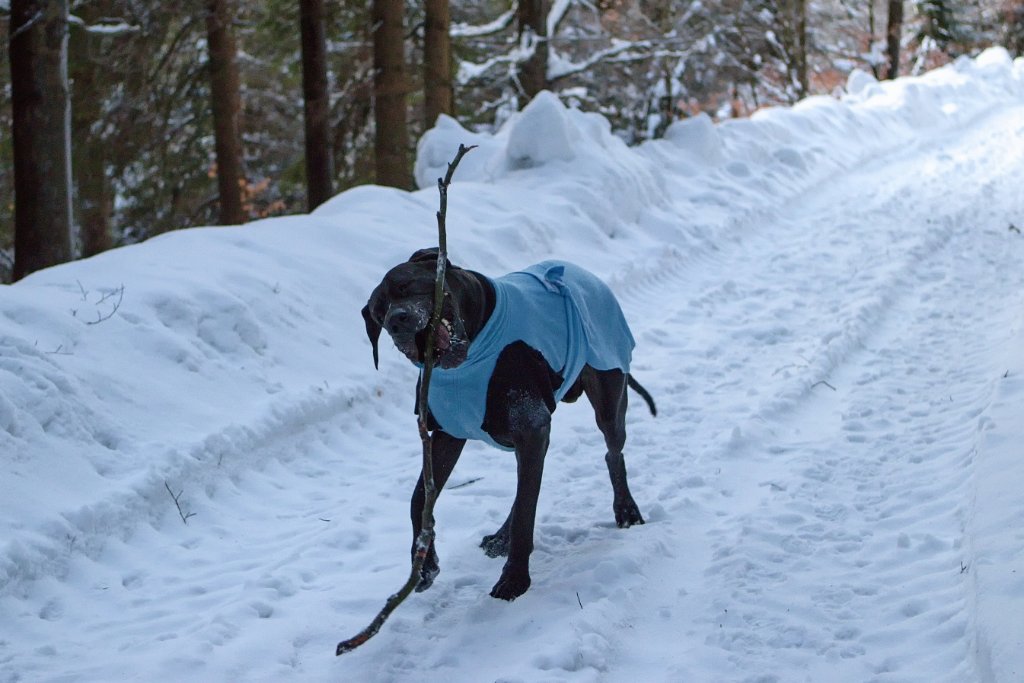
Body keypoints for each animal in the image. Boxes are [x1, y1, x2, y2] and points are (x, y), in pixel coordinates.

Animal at [362, 248, 655, 602]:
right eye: (378, 313)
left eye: (405, 286)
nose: (396, 321)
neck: (472, 352)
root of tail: (587, 275)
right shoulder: (449, 434)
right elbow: (419, 498)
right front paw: (424, 564)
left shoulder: (531, 429)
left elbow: (527, 511)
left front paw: (514, 580)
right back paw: (501, 537)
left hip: (608, 392)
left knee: (613, 452)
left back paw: (625, 509)